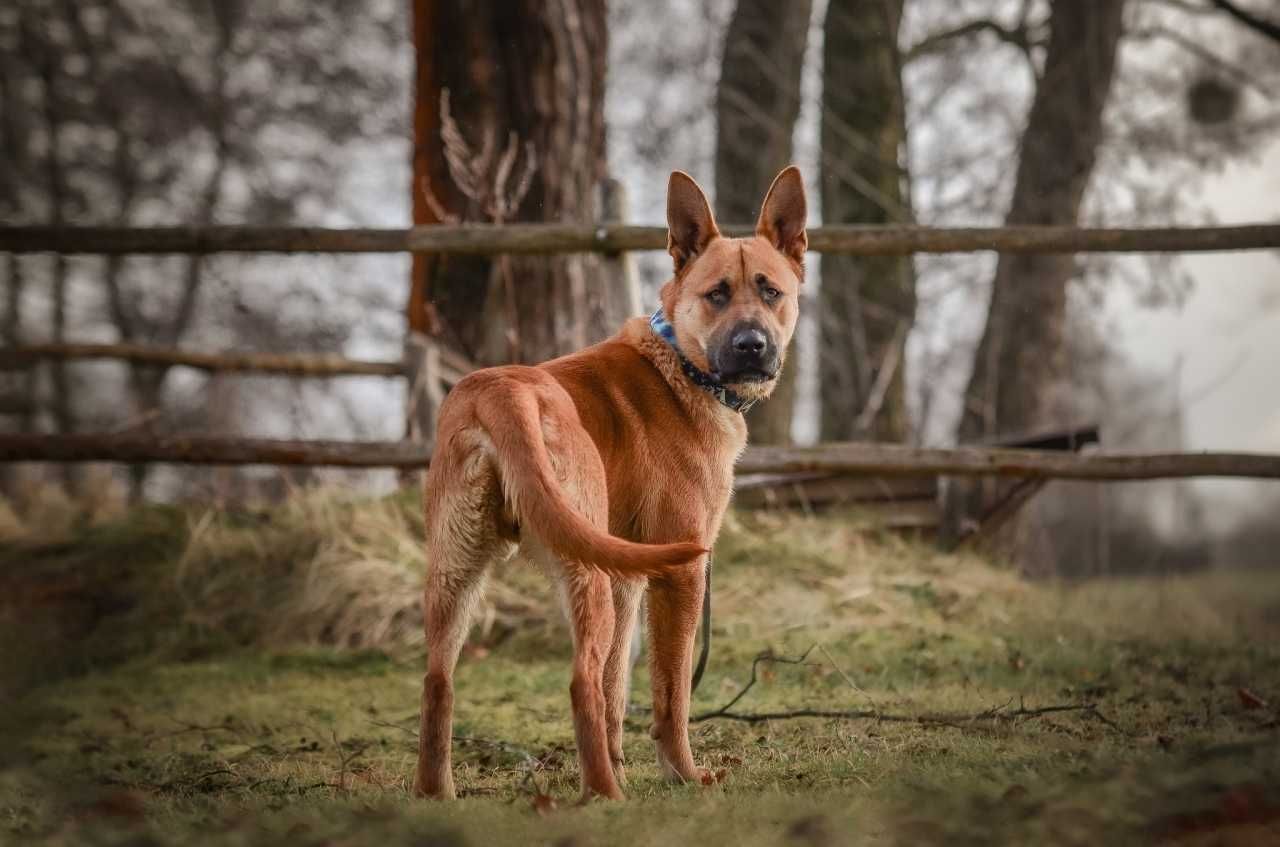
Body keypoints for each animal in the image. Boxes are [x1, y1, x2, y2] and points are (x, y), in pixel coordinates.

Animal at [414, 166, 803, 803]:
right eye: (717, 294)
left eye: (771, 291)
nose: (753, 346)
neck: (682, 364)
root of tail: (501, 392)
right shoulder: (679, 571)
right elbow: (671, 692)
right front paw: (683, 773)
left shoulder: (629, 577)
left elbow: (617, 684)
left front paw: (623, 760)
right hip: (585, 574)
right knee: (579, 681)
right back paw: (605, 797)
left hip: (459, 573)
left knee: (439, 679)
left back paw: (438, 792)